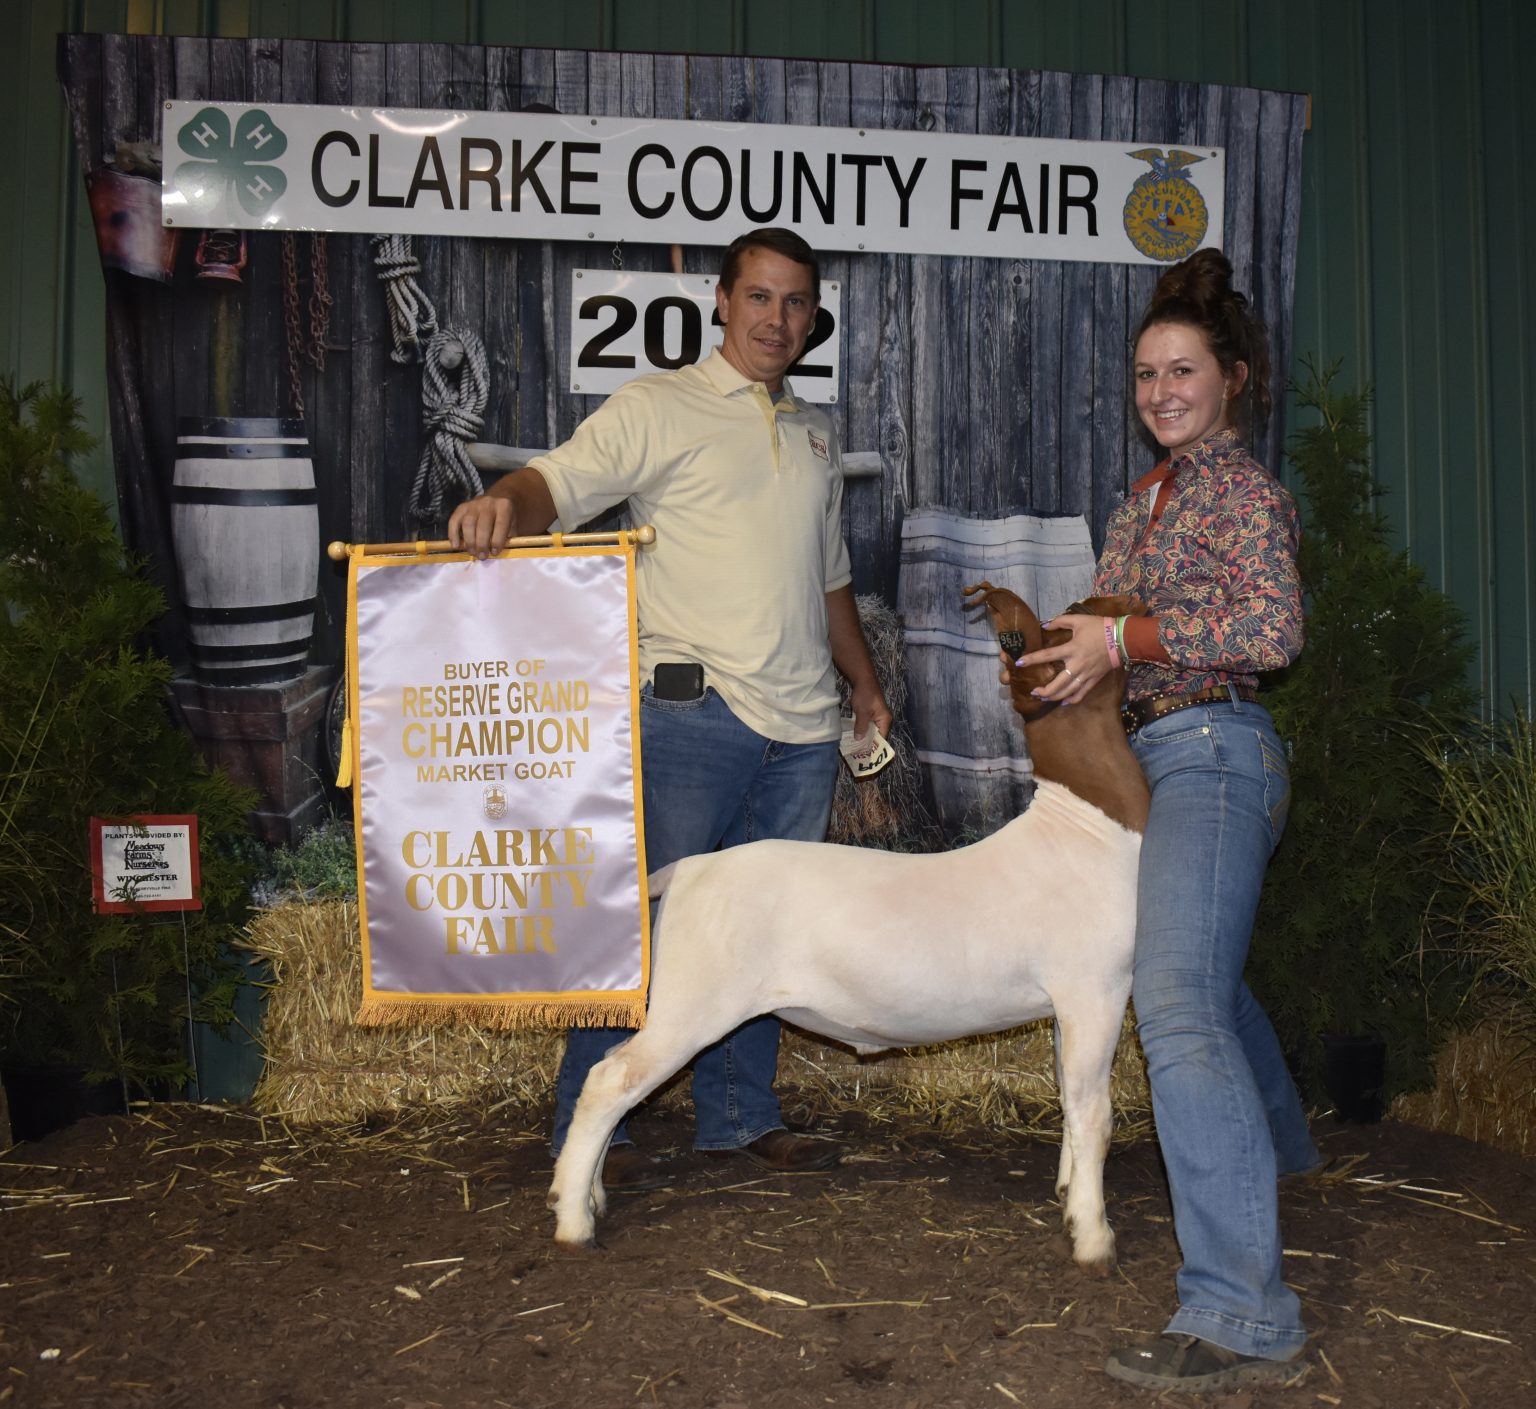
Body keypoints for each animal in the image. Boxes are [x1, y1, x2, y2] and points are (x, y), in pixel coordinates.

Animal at [546, 586, 1148, 1272]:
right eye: (1078, 618)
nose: (1123, 599)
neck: (1088, 822)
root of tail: (689, 869)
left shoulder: (1065, 1006)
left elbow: (1073, 1102)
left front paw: (1069, 1192)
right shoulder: (1096, 989)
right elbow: (1094, 1113)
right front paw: (1094, 1237)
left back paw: (589, 1194)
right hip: (692, 1001)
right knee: (608, 1080)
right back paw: (573, 1218)